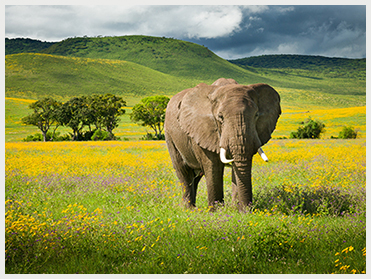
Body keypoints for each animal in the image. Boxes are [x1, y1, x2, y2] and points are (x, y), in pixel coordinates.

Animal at [164, 77, 280, 211]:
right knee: (184, 173)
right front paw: (216, 211)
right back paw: (189, 209)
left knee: (196, 177)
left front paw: (236, 209)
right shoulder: (203, 130)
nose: (248, 209)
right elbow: (213, 167)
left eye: (256, 115)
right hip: (170, 136)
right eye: (220, 117)